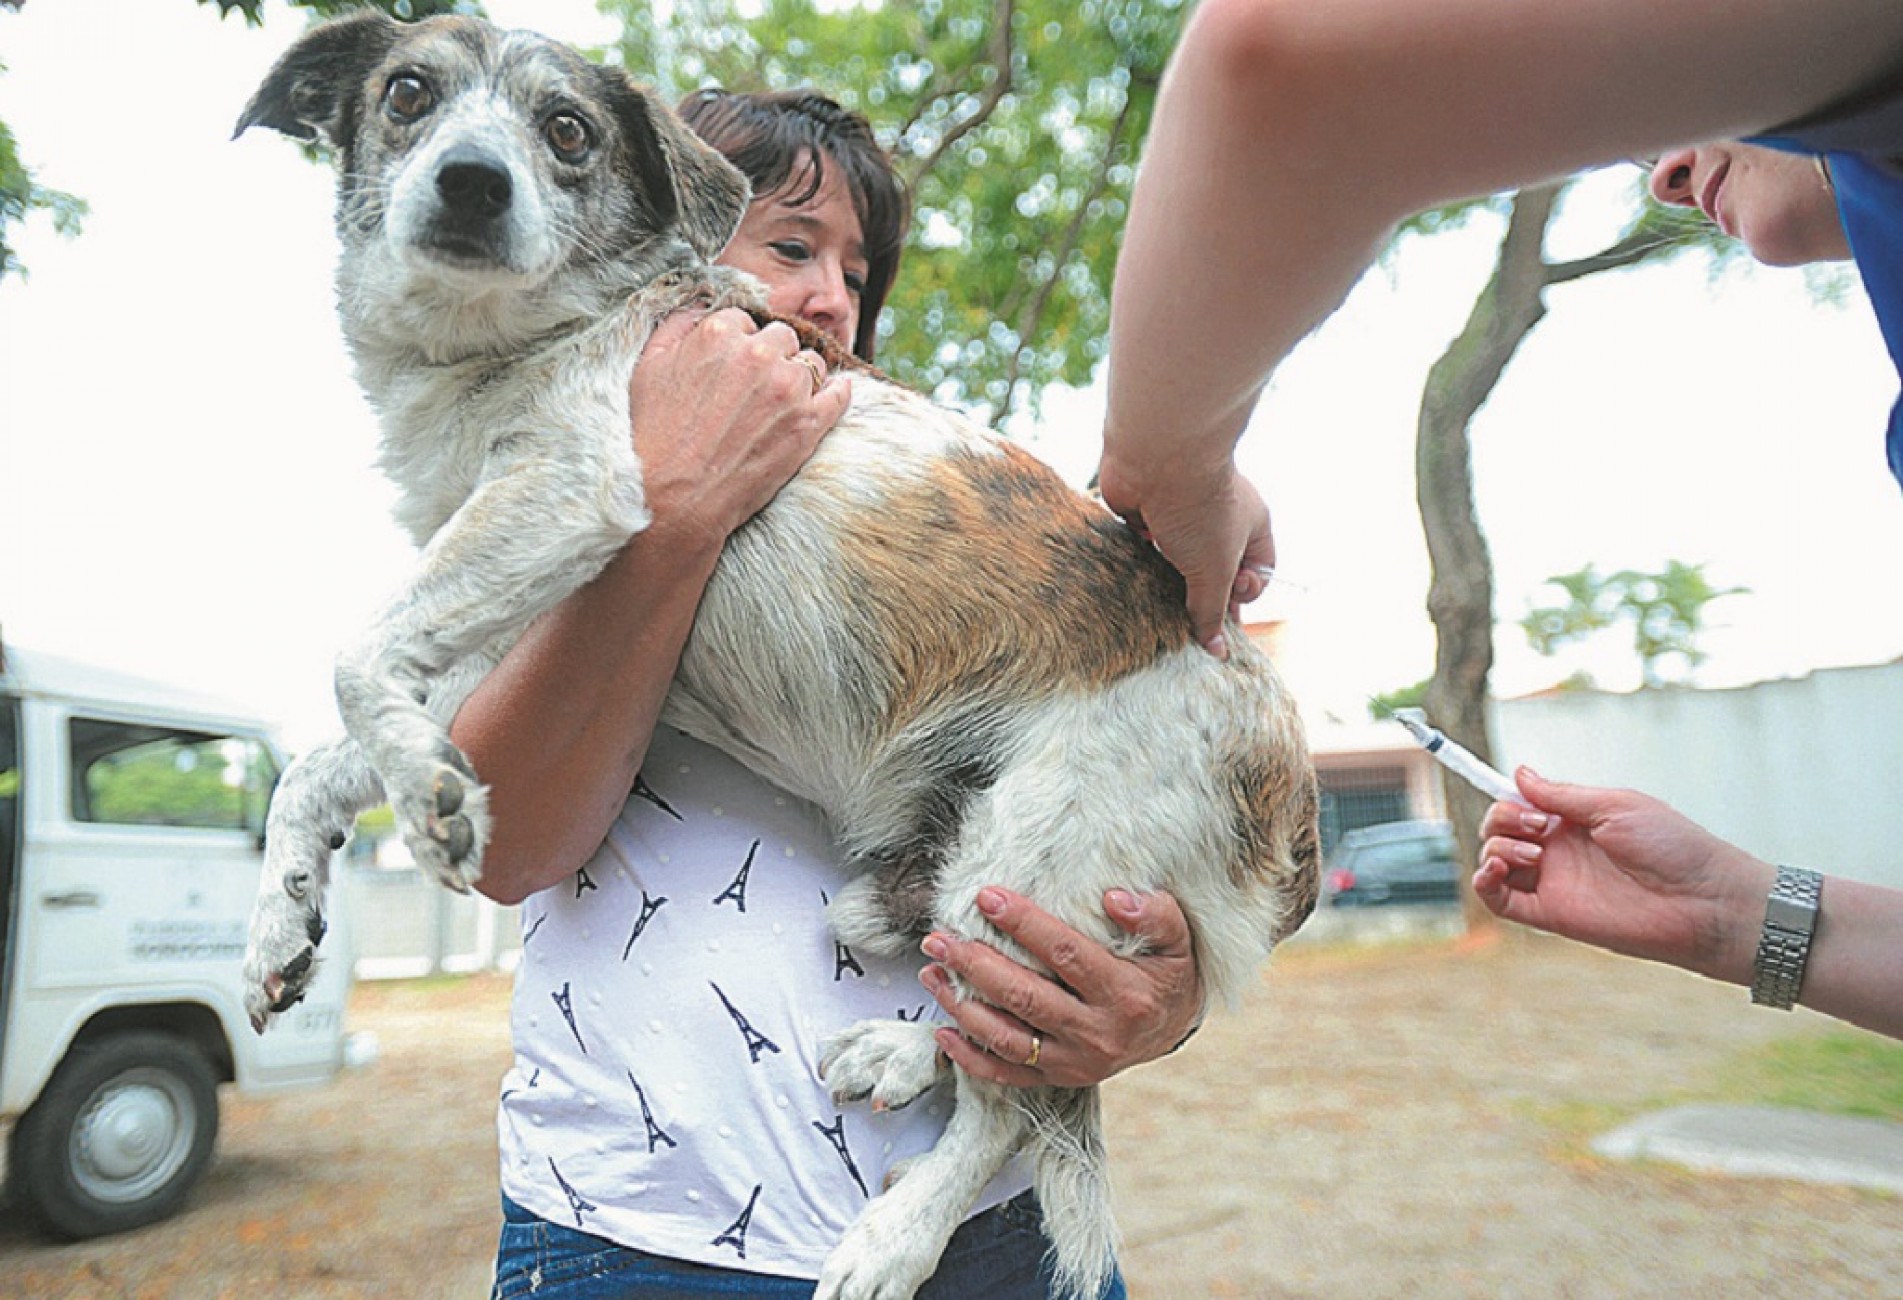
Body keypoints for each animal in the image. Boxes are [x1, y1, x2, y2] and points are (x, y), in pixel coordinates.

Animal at [230, 12, 1316, 1300]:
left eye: (567, 130)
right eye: (407, 94)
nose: (472, 183)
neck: (500, 345)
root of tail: (1292, 782)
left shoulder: (568, 491)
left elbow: (355, 662)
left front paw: (428, 797)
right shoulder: (495, 633)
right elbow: (318, 761)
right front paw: (286, 914)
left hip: (1037, 861)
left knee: (1016, 1097)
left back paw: (895, 1234)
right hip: (970, 884)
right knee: (1004, 1039)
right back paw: (901, 1050)